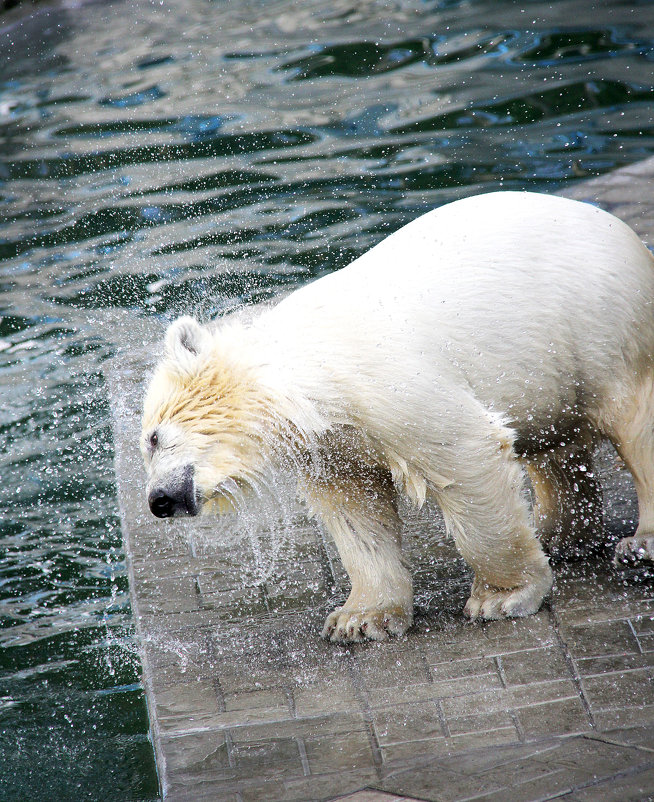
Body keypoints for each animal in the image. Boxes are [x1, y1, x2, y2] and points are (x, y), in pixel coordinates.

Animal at [141, 192, 654, 644]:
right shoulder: (332, 444)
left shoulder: (388, 384)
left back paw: (638, 544)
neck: (305, 373)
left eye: (152, 438)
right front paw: (360, 619)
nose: (158, 500)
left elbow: (464, 457)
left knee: (634, 423)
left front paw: (501, 596)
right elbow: (356, 512)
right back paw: (559, 534)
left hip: (606, 328)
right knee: (553, 446)